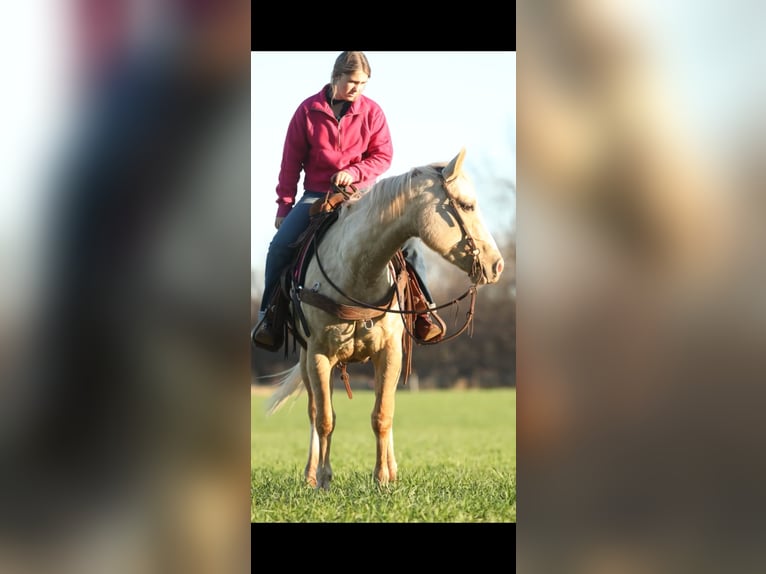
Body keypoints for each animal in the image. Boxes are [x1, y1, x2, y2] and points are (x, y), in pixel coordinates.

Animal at [262, 148, 505, 490]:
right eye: (467, 205)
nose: (497, 265)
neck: (358, 271)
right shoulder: (318, 355)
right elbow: (324, 419)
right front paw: (323, 478)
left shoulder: (390, 353)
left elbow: (382, 416)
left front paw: (383, 479)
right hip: (306, 356)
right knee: (313, 410)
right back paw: (310, 474)